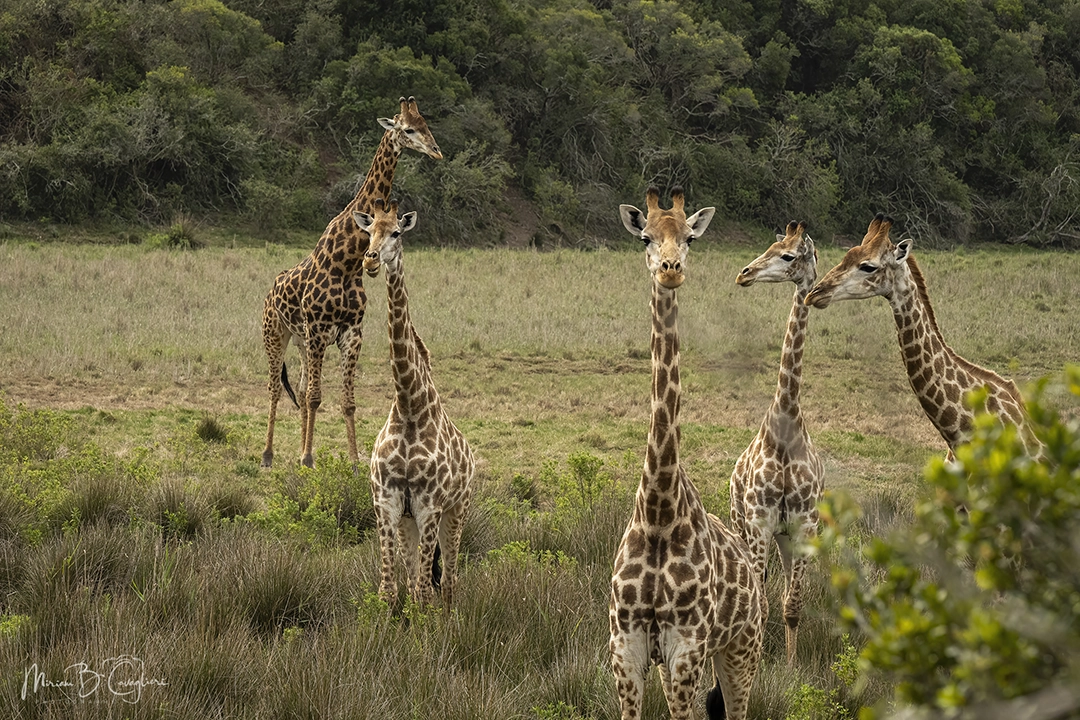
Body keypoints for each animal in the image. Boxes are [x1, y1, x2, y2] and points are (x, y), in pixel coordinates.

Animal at [261, 96, 443, 469]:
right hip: (276, 334)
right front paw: (308, 459)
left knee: (300, 386)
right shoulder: (319, 331)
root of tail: (270, 290)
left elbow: (345, 401)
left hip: (300, 342)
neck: (345, 261)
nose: (436, 152)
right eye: (407, 129)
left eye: (426, 124)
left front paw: (353, 459)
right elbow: (316, 397)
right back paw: (269, 455)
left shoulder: (350, 334)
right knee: (275, 388)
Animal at [352, 199, 474, 609]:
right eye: (367, 232)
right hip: (409, 521)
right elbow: (390, 591)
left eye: (396, 233)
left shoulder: (430, 504)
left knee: (449, 582)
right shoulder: (386, 503)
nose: (371, 261)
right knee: (416, 580)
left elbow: (423, 593)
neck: (408, 406)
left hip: (457, 510)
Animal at [610, 187, 765, 720]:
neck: (658, 512)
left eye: (690, 237)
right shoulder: (628, 649)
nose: (671, 268)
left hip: (742, 649)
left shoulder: (686, 649)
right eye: (644, 236)